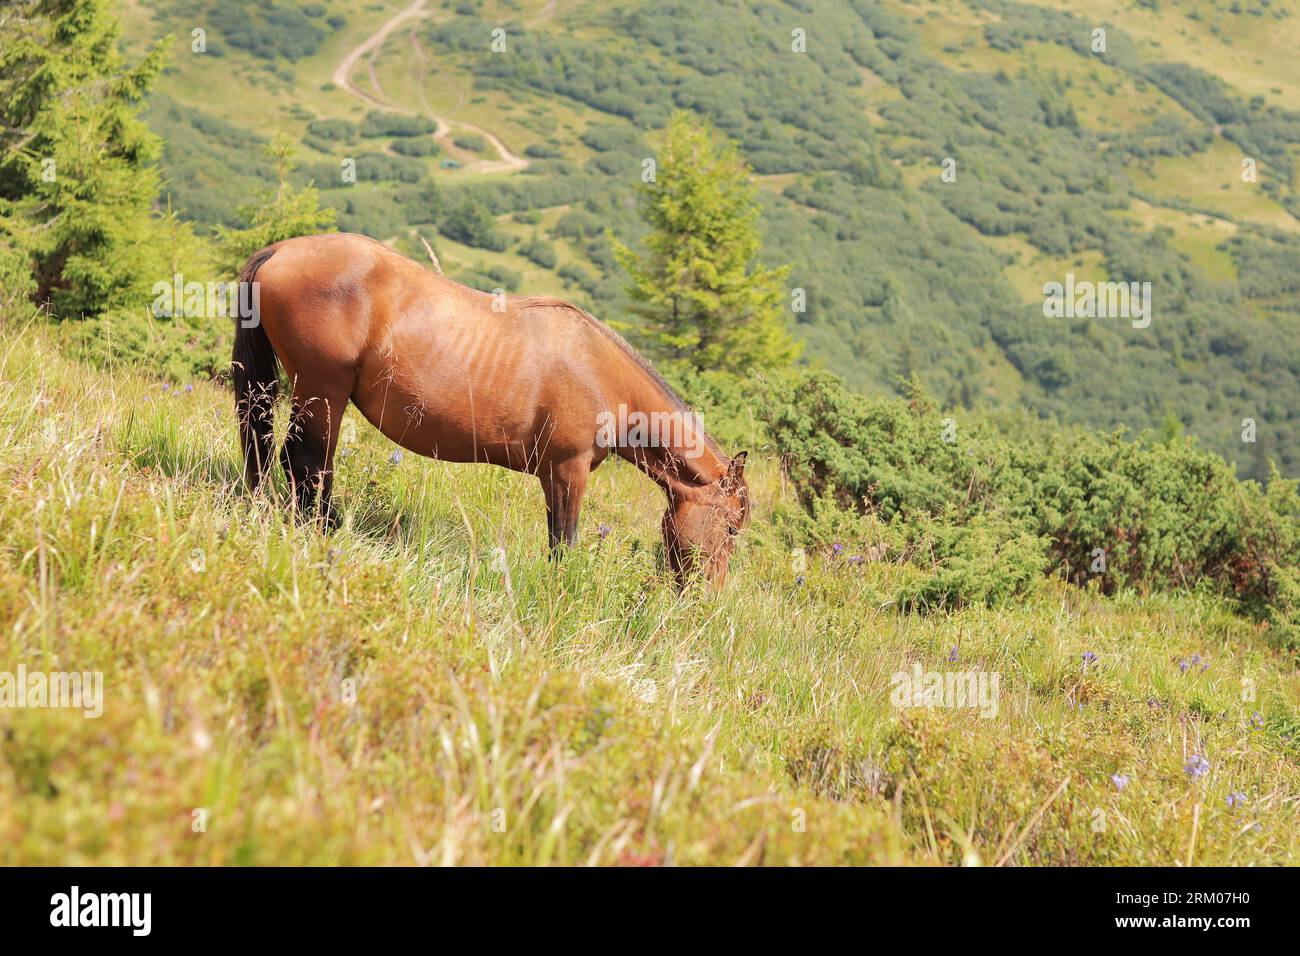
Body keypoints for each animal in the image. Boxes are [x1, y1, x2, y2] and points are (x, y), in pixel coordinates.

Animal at [231, 232, 751, 588]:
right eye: (730, 528)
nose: (710, 597)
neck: (597, 371)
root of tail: (281, 251)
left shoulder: (553, 476)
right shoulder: (569, 472)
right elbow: (564, 543)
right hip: (322, 393)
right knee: (306, 465)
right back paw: (324, 531)